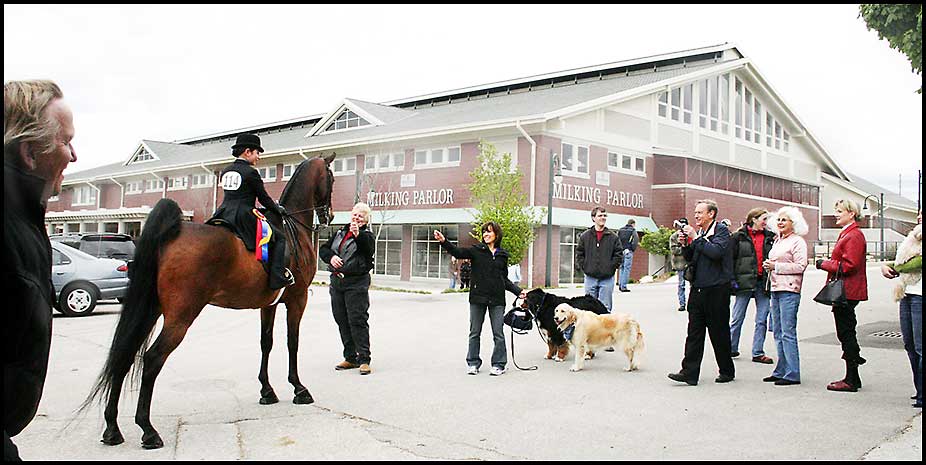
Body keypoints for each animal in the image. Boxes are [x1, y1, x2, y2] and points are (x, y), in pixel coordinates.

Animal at [81, 154, 338, 448]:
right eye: (331, 177)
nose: (329, 215)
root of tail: (170, 235)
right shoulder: (297, 300)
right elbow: (292, 343)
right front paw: (299, 388)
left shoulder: (269, 304)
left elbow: (267, 343)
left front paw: (267, 390)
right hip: (180, 317)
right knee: (152, 359)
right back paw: (148, 429)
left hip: (149, 310)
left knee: (124, 354)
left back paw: (112, 429)